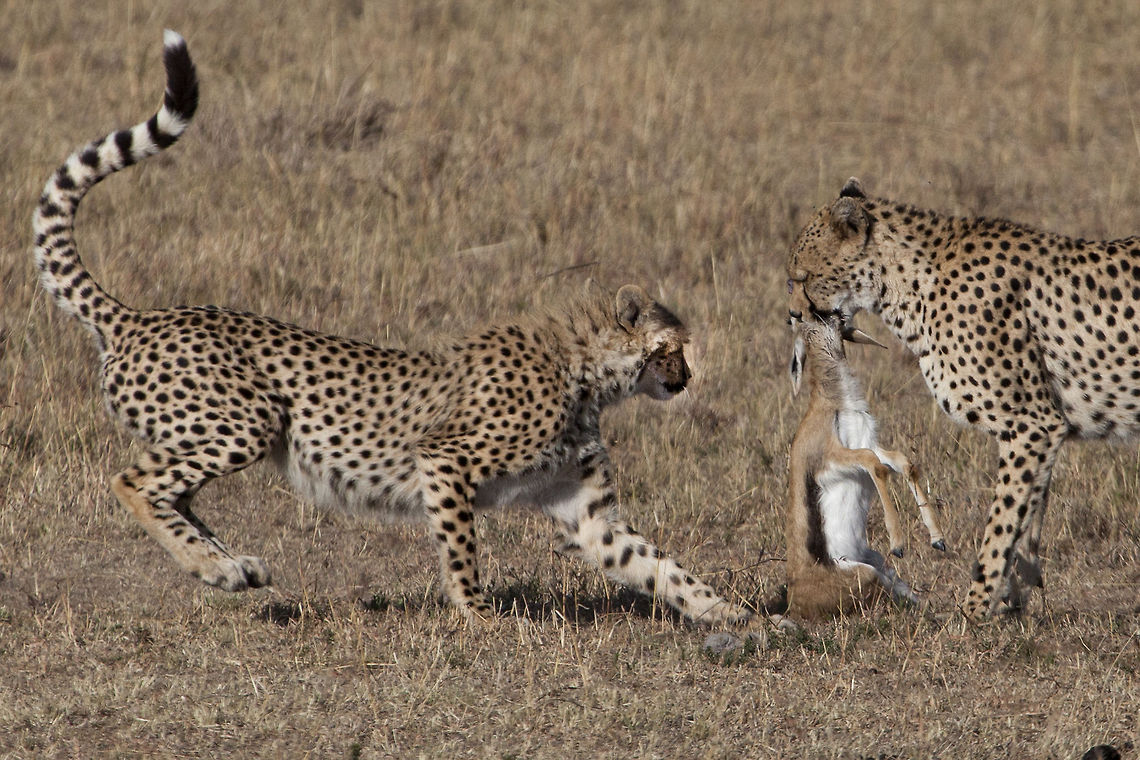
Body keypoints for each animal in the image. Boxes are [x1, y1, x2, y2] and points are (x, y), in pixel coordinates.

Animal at [33, 31, 750, 627]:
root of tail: (136, 315)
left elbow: (659, 565)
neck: (585, 371)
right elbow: (462, 549)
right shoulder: (446, 459)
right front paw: (479, 618)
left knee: (172, 493)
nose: (686, 379)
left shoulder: (586, 511)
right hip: (247, 420)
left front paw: (733, 615)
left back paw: (230, 567)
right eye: (671, 349)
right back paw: (215, 565)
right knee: (134, 483)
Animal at [787, 176, 1140, 621]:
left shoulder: (1033, 424)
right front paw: (1012, 599)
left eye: (802, 277)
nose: (792, 315)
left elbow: (1002, 522)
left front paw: (974, 609)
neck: (907, 283)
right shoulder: (1041, 430)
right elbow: (1026, 520)